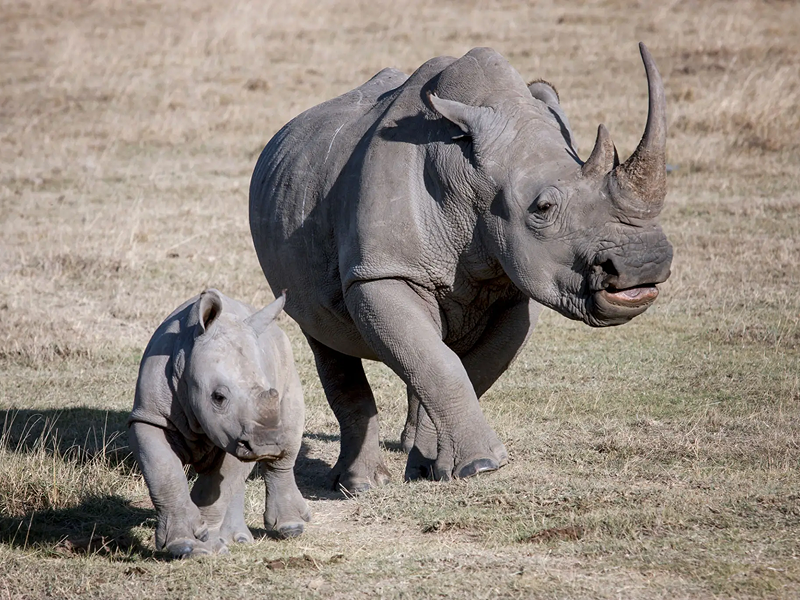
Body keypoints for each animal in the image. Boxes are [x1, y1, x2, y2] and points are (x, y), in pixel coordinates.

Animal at [129, 290, 309, 558]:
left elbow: (216, 489)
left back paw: (290, 528)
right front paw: (187, 545)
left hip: (287, 359)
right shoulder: (149, 416)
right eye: (218, 397)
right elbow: (164, 473)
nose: (266, 445)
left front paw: (207, 544)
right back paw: (238, 539)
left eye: (271, 392)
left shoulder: (236, 435)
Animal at [249, 44, 673, 491]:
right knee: (325, 338)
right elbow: (442, 365)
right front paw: (482, 466)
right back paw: (360, 485)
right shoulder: (381, 271)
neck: (472, 180)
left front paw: (432, 468)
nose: (644, 265)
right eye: (542, 208)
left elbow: (466, 369)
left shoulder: (517, 290)